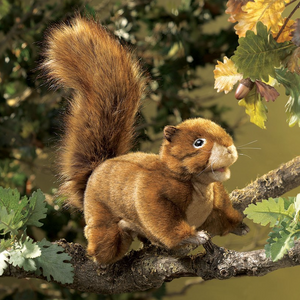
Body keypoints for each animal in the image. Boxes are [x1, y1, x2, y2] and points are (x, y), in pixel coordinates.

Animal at [42, 16, 248, 264]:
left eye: (221, 129)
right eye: (198, 142)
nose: (229, 149)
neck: (199, 186)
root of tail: (95, 170)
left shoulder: (216, 203)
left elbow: (222, 217)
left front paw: (240, 226)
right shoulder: (153, 192)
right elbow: (161, 219)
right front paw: (192, 237)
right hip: (100, 217)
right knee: (103, 247)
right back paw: (108, 243)